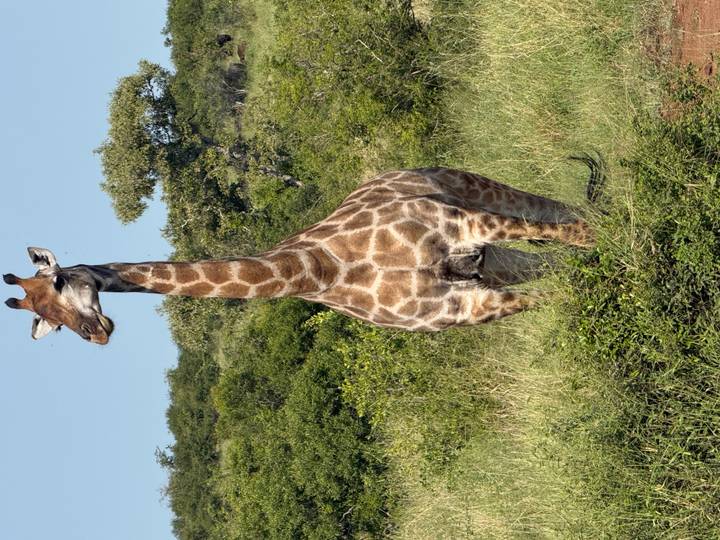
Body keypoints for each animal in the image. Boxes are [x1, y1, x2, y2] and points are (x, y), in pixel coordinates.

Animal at [4, 163, 602, 344]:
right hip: (488, 260)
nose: (97, 333)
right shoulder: (459, 308)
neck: (319, 268)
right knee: (543, 255)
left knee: (556, 213)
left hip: (472, 193)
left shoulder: (460, 224)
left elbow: (578, 246)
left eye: (57, 281)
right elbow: (557, 296)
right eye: (48, 325)